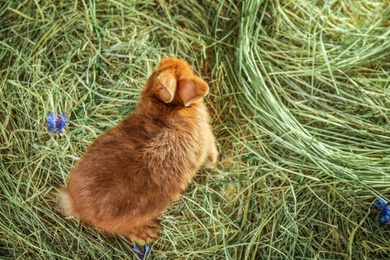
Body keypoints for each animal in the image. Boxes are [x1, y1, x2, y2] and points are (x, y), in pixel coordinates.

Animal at [56, 57, 218, 246]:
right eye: (159, 70)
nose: (167, 58)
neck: (170, 106)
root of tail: (74, 204)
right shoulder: (207, 139)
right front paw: (214, 162)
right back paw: (147, 234)